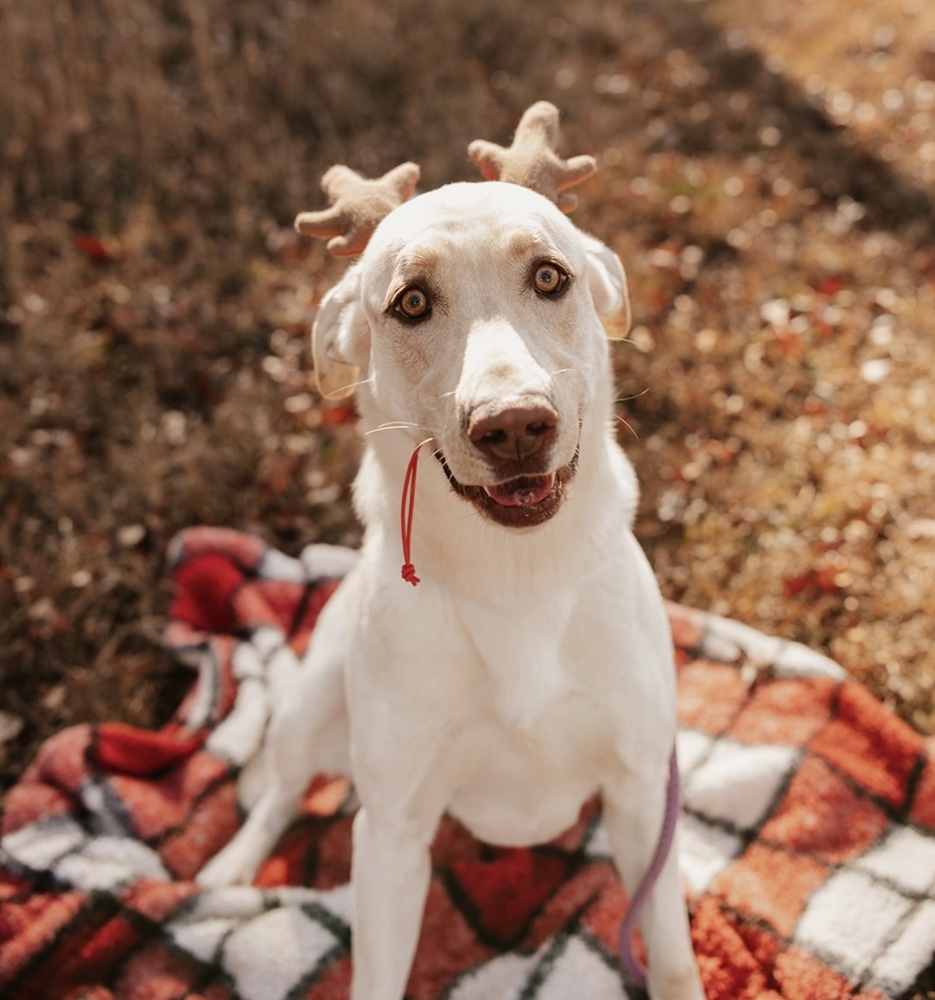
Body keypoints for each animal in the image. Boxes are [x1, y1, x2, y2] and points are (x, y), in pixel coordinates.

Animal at [199, 182, 704, 1000]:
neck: (512, 575)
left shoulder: (639, 792)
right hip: (311, 705)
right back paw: (233, 867)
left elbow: (672, 958)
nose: (515, 426)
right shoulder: (392, 835)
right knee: (280, 792)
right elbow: (374, 974)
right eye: (410, 302)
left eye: (549, 277)